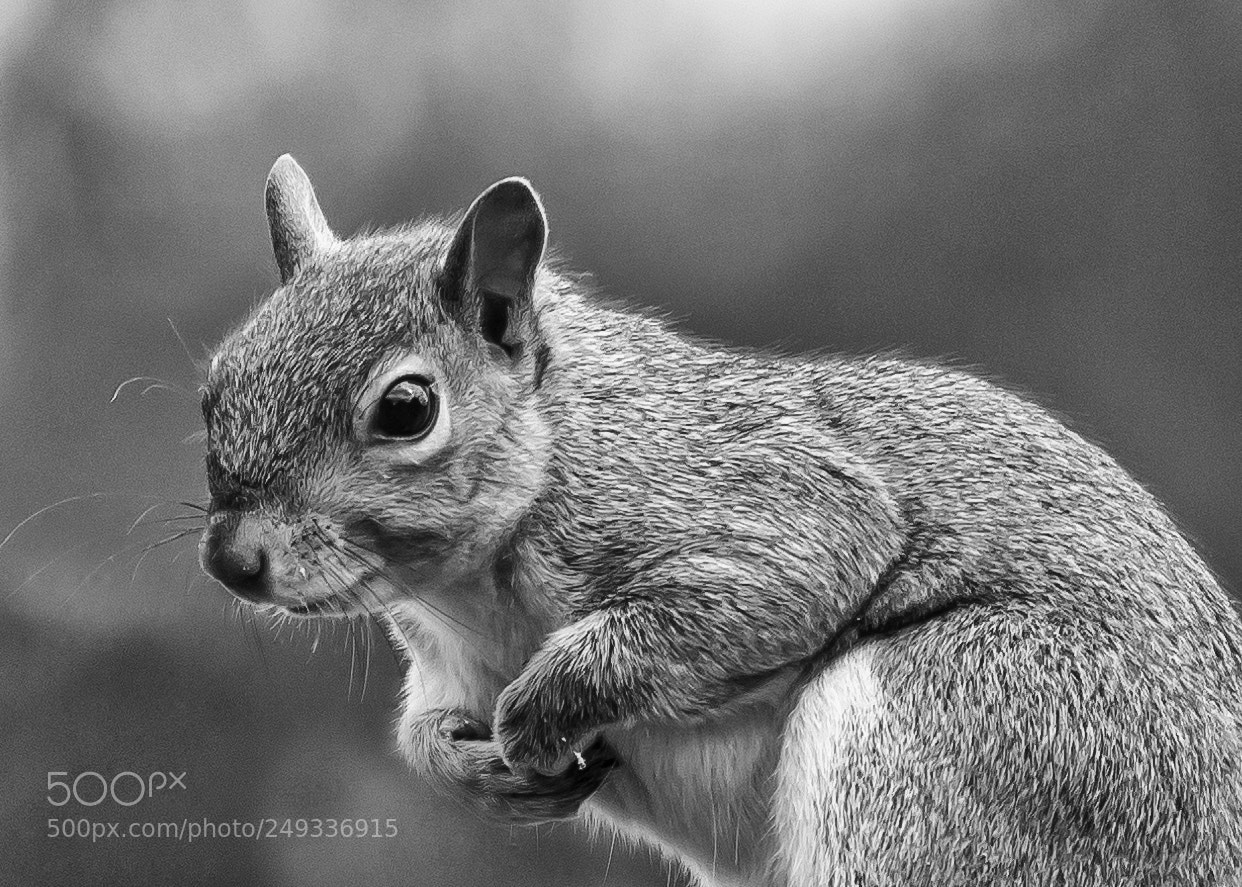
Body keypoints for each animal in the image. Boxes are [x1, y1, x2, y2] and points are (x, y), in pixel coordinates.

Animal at [199, 154, 1242, 886]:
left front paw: (544, 705)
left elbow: (788, 571)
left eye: (408, 409)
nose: (231, 559)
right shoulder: (448, 662)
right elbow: (428, 731)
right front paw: (465, 764)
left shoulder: (750, 493)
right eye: (214, 388)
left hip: (973, 722)